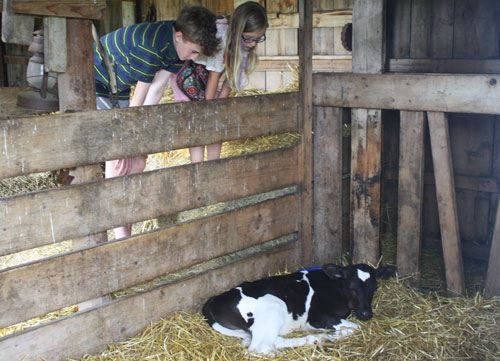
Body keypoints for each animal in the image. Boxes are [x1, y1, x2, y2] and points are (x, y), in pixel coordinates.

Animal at [202, 262, 394, 352]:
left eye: (374, 288)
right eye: (352, 287)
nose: (366, 313)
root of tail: (214, 300)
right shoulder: (317, 317)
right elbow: (355, 328)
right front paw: (336, 334)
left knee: (274, 341)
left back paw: (318, 339)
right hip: (274, 306)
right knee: (260, 347)